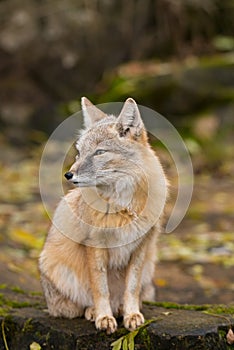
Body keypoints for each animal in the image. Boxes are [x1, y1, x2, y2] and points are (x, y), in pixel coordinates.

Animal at [40, 96, 168, 334]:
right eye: (79, 153)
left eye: (99, 153)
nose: (68, 174)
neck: (123, 207)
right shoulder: (95, 246)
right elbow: (100, 288)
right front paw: (103, 316)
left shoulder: (141, 246)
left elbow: (131, 287)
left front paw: (131, 314)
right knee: (80, 304)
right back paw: (93, 311)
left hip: (149, 267)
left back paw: (120, 309)